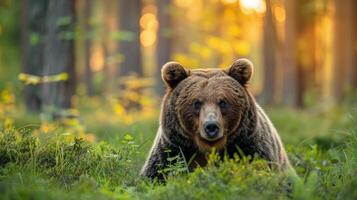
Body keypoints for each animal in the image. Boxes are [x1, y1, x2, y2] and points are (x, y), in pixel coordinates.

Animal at [140, 57, 294, 180]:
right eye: (196, 103)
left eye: (223, 102)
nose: (211, 126)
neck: (208, 148)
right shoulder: (174, 150)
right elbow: (156, 175)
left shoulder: (249, 147)